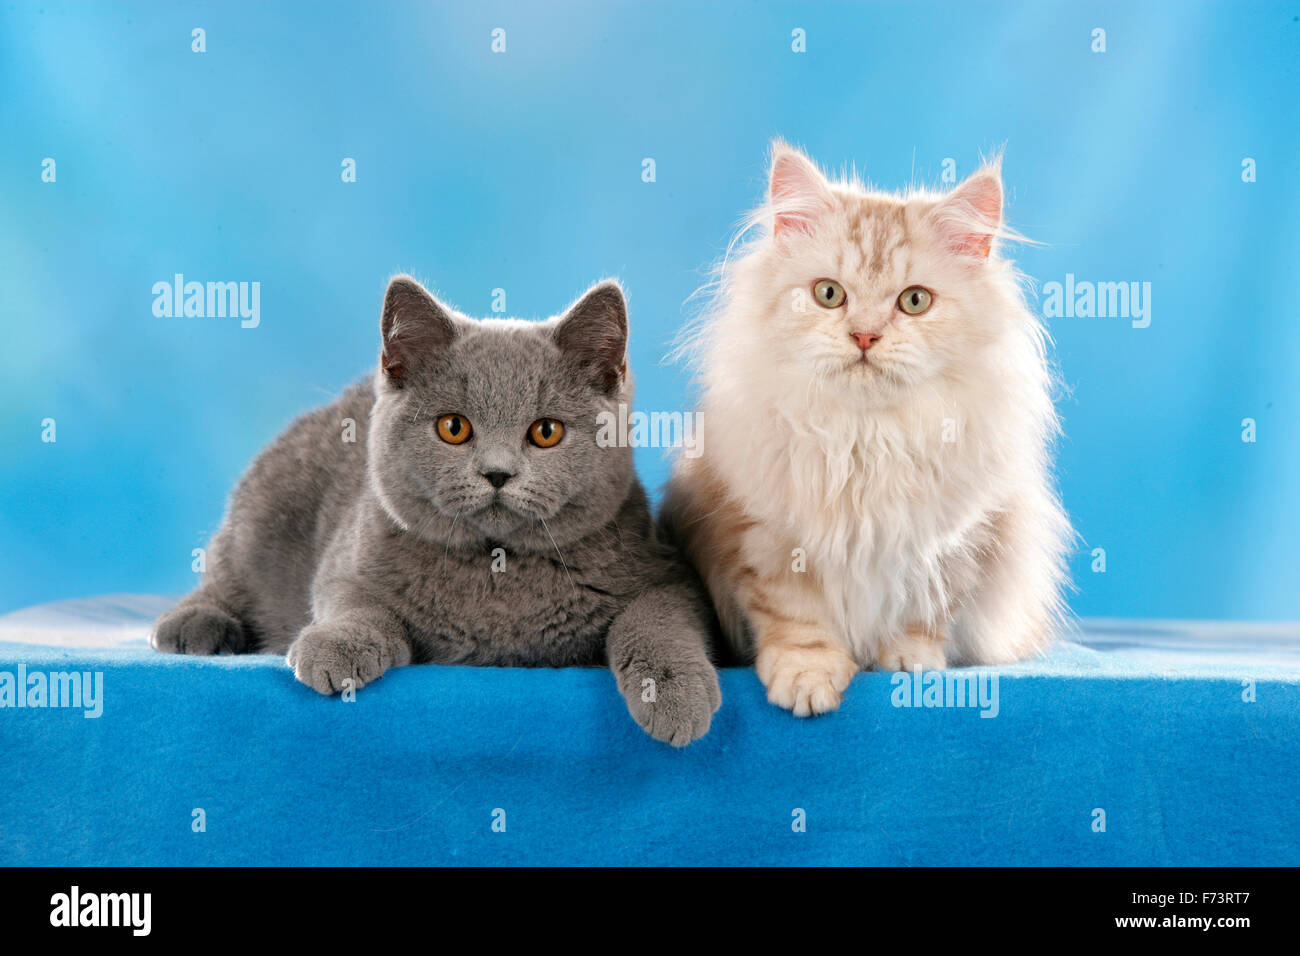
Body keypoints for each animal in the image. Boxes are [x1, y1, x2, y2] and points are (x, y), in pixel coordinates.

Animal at [154, 277, 722, 749]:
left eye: (546, 431)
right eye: (454, 427)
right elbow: (356, 604)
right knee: (224, 571)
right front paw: (334, 647)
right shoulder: (348, 563)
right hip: (263, 513)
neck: (498, 571)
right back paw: (193, 625)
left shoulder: (665, 571)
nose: (497, 473)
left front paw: (674, 694)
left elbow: (655, 618)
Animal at [665, 138, 1071, 712]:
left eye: (915, 301)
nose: (864, 336)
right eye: (829, 294)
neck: (866, 438)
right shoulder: (766, 541)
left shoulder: (960, 544)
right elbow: (798, 623)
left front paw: (911, 664)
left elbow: (925, 616)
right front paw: (808, 681)